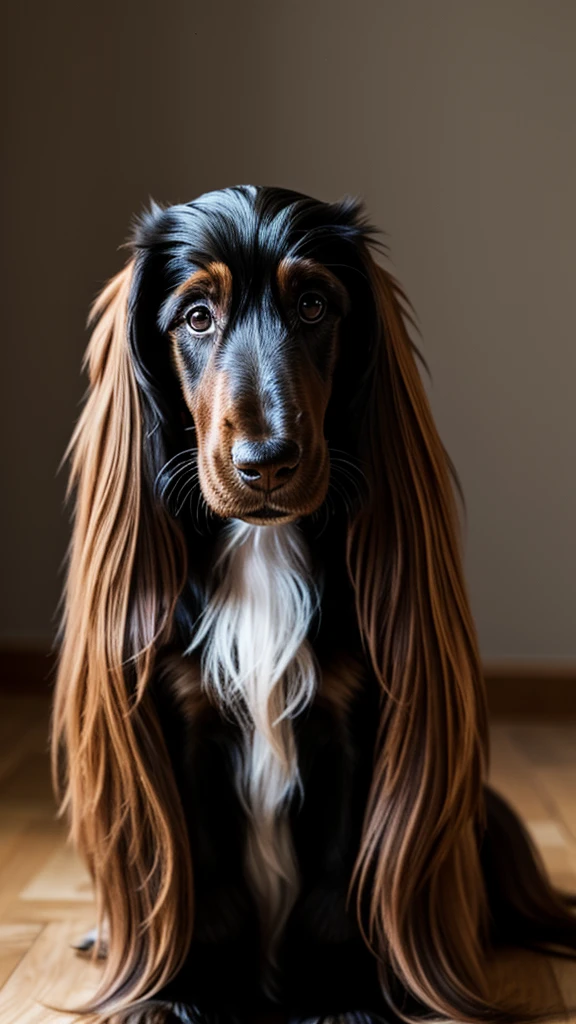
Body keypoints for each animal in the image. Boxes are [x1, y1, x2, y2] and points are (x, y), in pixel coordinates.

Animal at [51, 186, 569, 1024]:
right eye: (197, 315)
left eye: (315, 305)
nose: (267, 463)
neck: (263, 550)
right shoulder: (186, 722)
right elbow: (207, 873)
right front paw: (188, 989)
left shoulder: (351, 724)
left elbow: (336, 876)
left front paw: (338, 994)